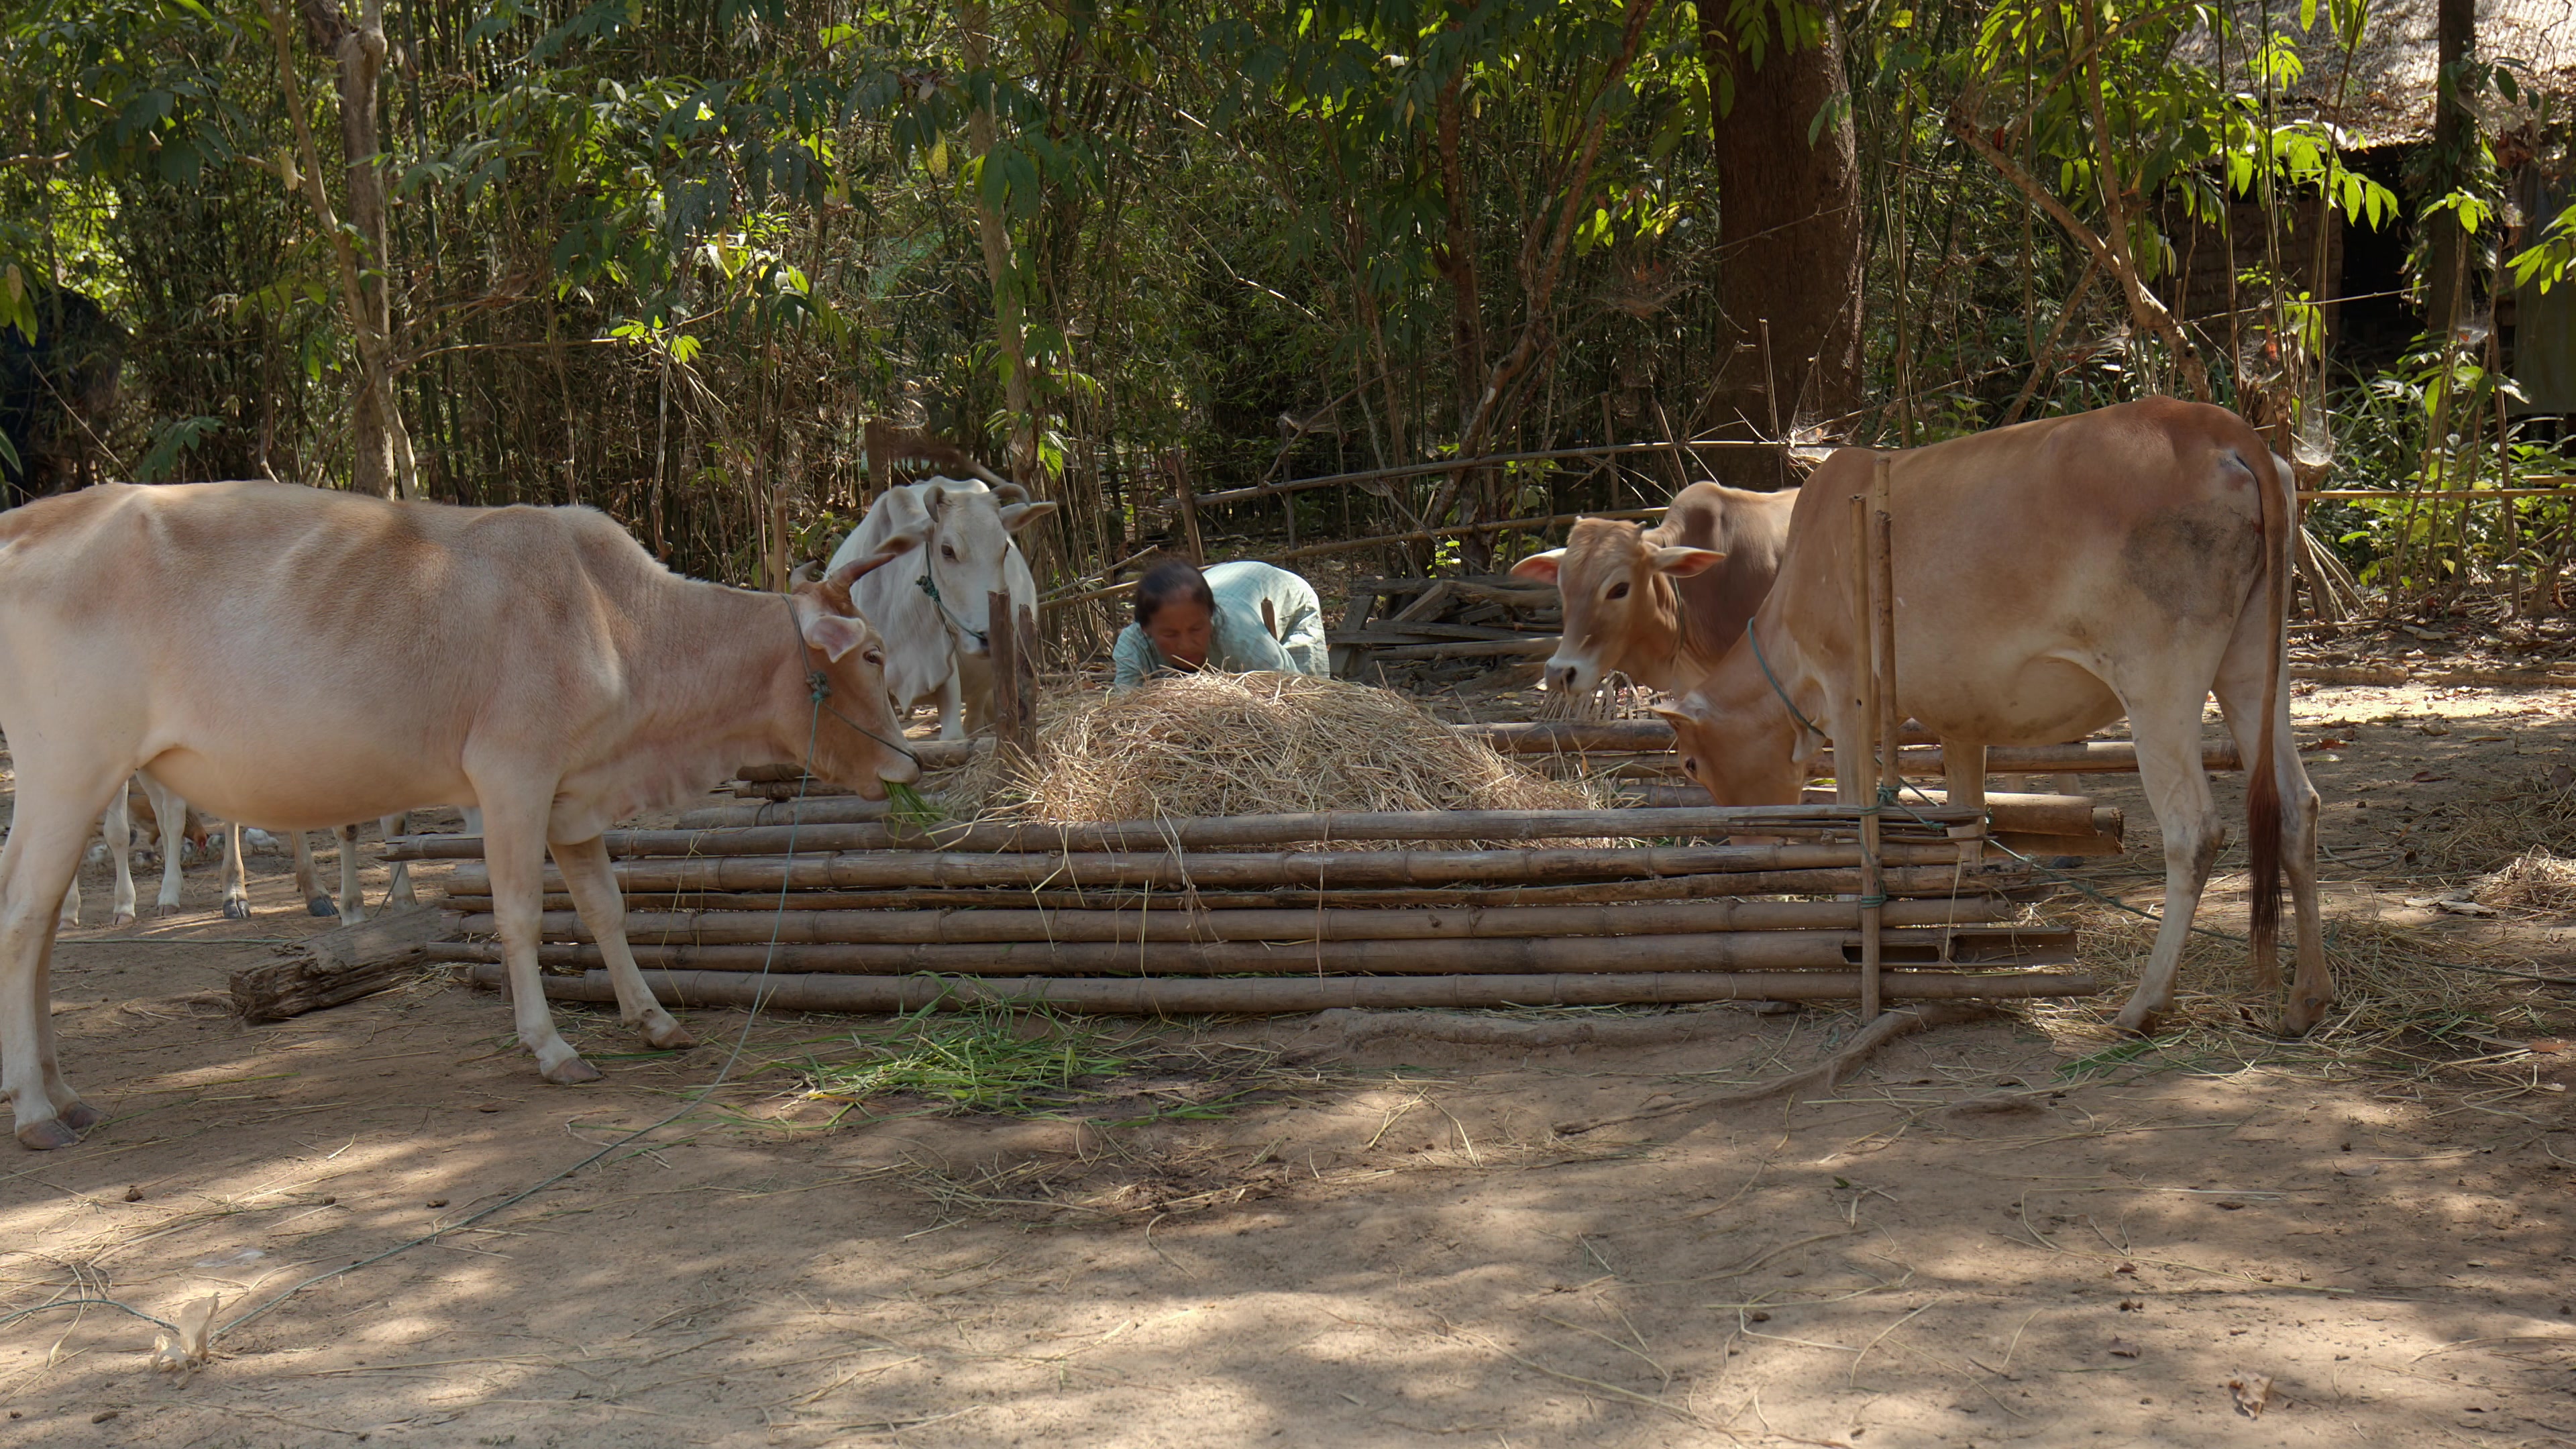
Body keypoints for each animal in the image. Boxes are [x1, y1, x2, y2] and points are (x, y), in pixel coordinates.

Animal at [0, 480, 922, 1149]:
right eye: (873, 655)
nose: (906, 765)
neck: (616, 620)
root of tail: (27, 520)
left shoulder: (572, 796)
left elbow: (606, 907)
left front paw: (654, 1019)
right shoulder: (512, 776)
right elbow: (519, 916)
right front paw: (552, 1047)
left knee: (40, 932)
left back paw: (58, 1092)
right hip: (69, 771)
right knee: (24, 922)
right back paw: (40, 1113)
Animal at [1651, 399, 2327, 1035]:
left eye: (1690, 764)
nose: (1742, 847)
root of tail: (2218, 428)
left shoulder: (1848, 695)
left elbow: (1853, 815)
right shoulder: (1962, 719)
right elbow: (1967, 826)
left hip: (2158, 680)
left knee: (2193, 830)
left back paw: (2143, 1005)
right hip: (2252, 663)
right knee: (2298, 804)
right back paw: (2304, 1000)